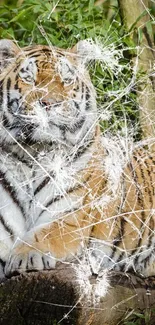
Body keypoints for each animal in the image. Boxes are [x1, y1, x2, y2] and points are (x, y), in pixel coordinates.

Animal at [0, 38, 154, 280]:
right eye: (29, 78)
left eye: (66, 80)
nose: (49, 102)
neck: (35, 150)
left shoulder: (72, 217)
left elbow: (46, 234)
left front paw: (24, 255)